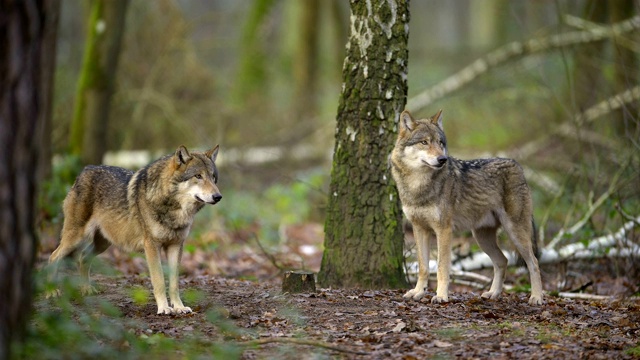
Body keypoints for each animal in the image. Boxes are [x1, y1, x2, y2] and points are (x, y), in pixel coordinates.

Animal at [48, 145, 222, 314]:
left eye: (213, 177)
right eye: (198, 176)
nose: (218, 196)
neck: (174, 209)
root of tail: (85, 170)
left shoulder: (176, 245)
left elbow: (174, 283)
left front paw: (179, 307)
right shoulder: (151, 246)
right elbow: (159, 280)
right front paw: (164, 308)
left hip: (102, 243)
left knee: (82, 259)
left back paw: (87, 290)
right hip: (76, 238)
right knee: (53, 257)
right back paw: (52, 291)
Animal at [388, 109, 544, 304]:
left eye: (440, 143)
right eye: (424, 142)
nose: (442, 159)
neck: (418, 186)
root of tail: (518, 165)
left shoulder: (444, 230)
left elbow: (441, 267)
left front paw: (441, 296)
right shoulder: (419, 229)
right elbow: (423, 267)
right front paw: (418, 292)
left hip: (515, 233)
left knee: (534, 262)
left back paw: (536, 297)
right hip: (481, 237)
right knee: (503, 261)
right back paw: (493, 293)